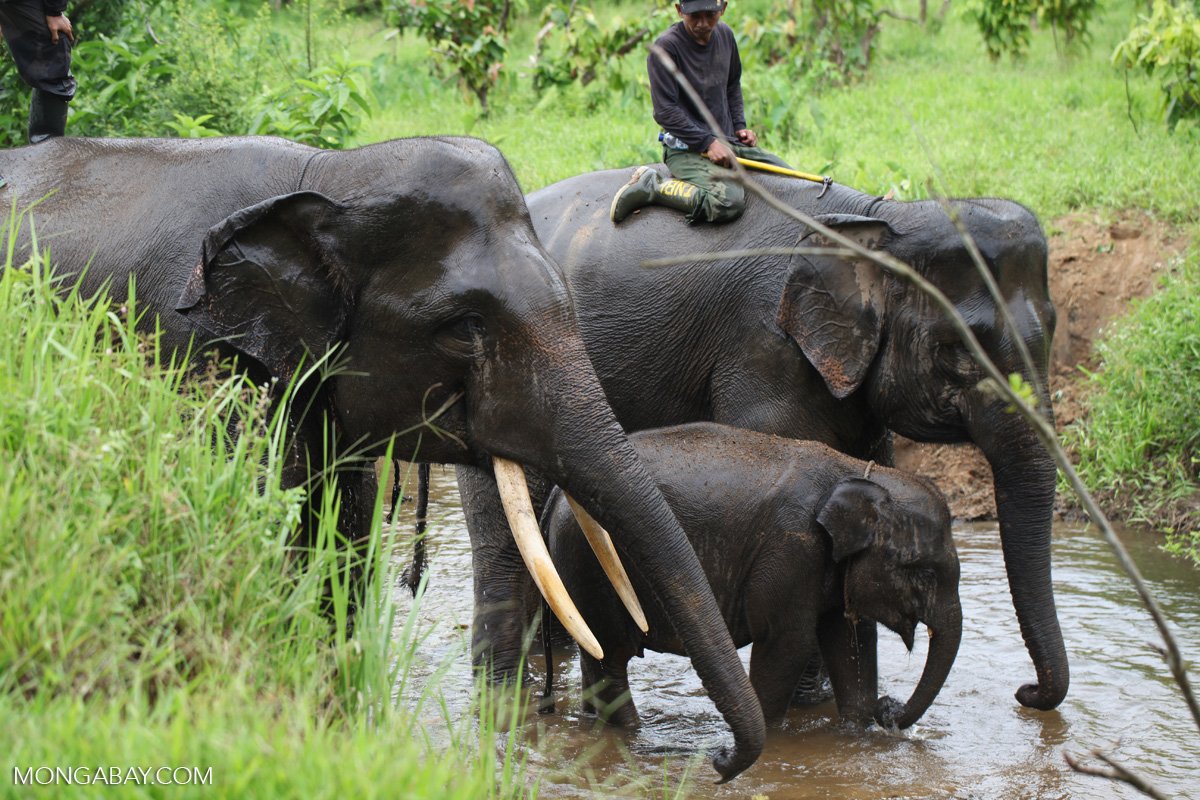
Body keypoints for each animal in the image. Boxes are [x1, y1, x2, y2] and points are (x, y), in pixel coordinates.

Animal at [544, 424, 964, 734]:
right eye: (922, 571)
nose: (889, 708)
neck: (857, 472)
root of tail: (558, 495)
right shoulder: (792, 549)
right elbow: (788, 643)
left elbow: (851, 641)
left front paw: (857, 735)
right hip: (590, 564)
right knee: (612, 658)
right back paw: (632, 732)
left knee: (597, 658)